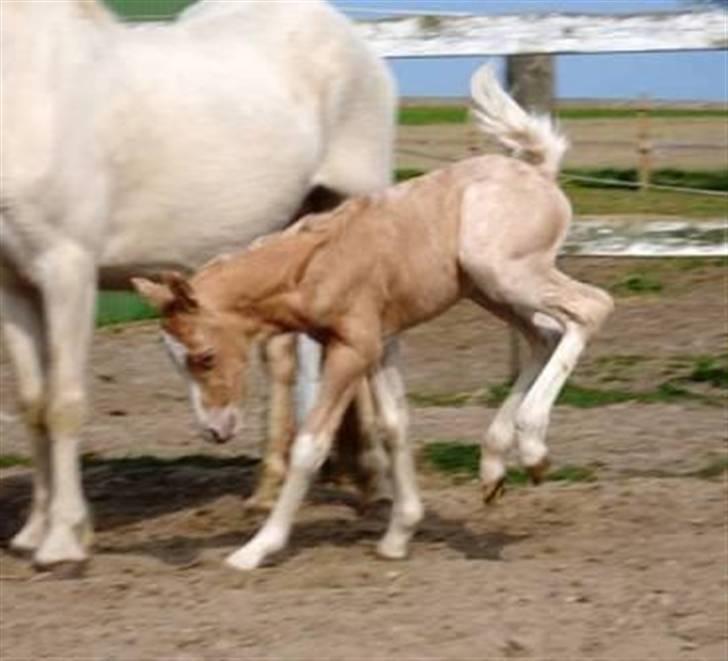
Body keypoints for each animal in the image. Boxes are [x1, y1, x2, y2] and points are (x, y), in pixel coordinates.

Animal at [0, 0, 396, 572]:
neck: (27, 86)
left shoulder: (67, 269)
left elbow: (64, 404)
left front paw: (63, 542)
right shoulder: (13, 281)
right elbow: (33, 404)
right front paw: (33, 532)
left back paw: (372, 482)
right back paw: (293, 488)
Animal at [134, 68, 612, 572]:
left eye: (204, 356)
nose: (214, 429)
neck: (311, 264)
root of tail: (540, 171)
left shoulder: (352, 346)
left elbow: (310, 444)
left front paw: (256, 548)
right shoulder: (380, 343)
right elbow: (394, 424)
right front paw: (399, 534)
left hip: (505, 273)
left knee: (591, 307)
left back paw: (534, 447)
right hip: (489, 287)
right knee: (543, 335)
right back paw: (494, 465)